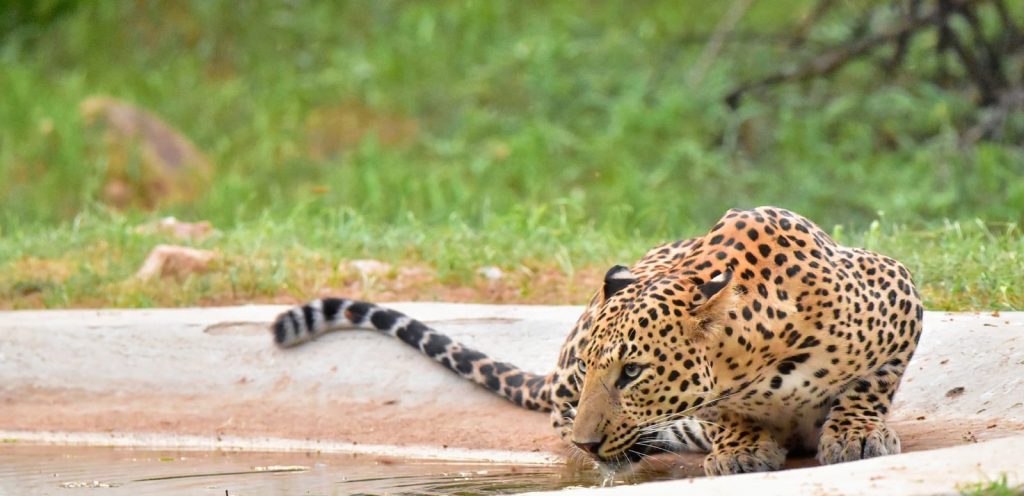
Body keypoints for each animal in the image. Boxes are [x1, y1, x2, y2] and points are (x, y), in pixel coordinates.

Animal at [271, 206, 923, 476]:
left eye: (632, 372)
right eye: (594, 371)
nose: (588, 443)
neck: (763, 365)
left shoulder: (898, 288)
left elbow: (871, 381)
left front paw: (856, 433)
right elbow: (724, 415)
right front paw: (740, 447)